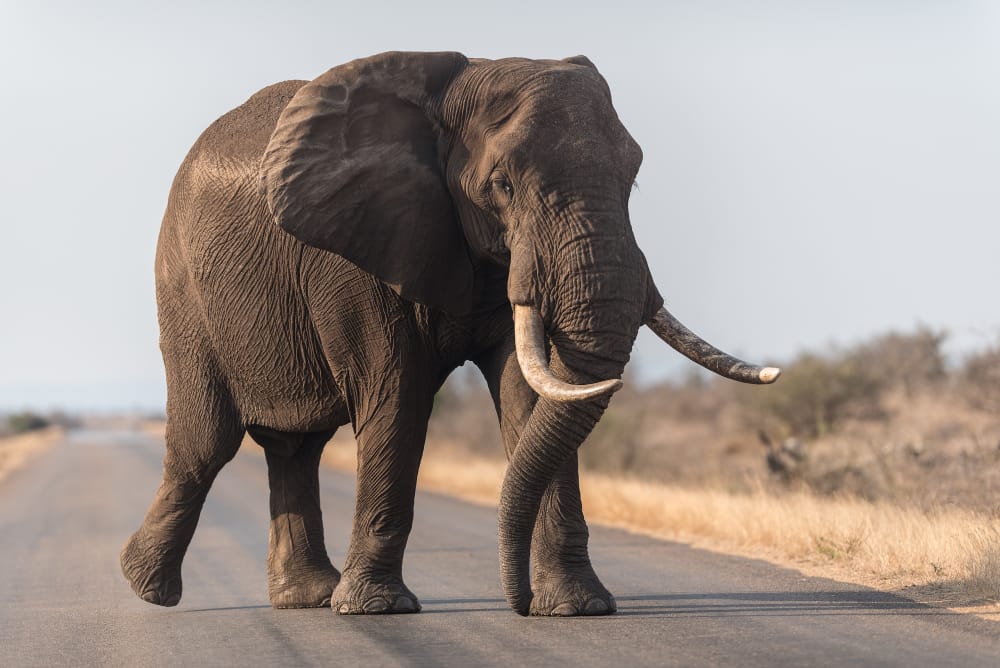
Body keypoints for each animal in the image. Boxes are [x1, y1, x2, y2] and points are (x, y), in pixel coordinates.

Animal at [121, 51, 779, 617]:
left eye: (633, 178)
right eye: (503, 186)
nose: (517, 601)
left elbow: (530, 395)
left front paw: (578, 608)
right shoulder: (354, 250)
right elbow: (397, 397)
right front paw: (378, 610)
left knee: (295, 447)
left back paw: (305, 597)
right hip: (183, 291)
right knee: (206, 443)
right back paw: (147, 587)